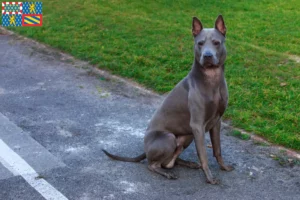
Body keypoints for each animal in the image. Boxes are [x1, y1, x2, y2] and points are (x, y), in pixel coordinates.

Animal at [103, 15, 234, 184]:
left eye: (217, 43)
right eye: (200, 43)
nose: (207, 56)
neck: (212, 80)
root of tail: (145, 150)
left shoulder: (216, 122)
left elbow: (217, 149)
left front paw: (224, 167)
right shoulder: (197, 125)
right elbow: (203, 155)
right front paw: (210, 178)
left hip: (187, 135)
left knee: (170, 161)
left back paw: (188, 163)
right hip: (169, 137)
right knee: (153, 165)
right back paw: (167, 173)